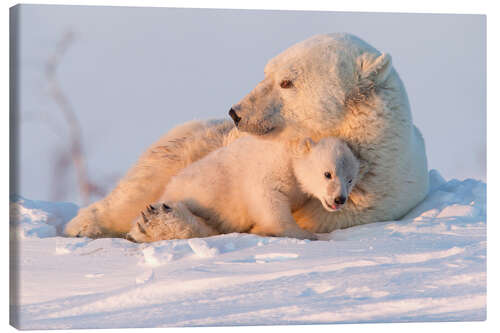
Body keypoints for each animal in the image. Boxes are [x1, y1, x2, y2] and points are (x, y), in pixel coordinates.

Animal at [125, 135, 360, 241]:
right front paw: (303, 233)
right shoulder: (271, 168)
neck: (291, 150)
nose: (339, 199)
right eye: (327, 173)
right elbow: (268, 198)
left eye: (350, 179)